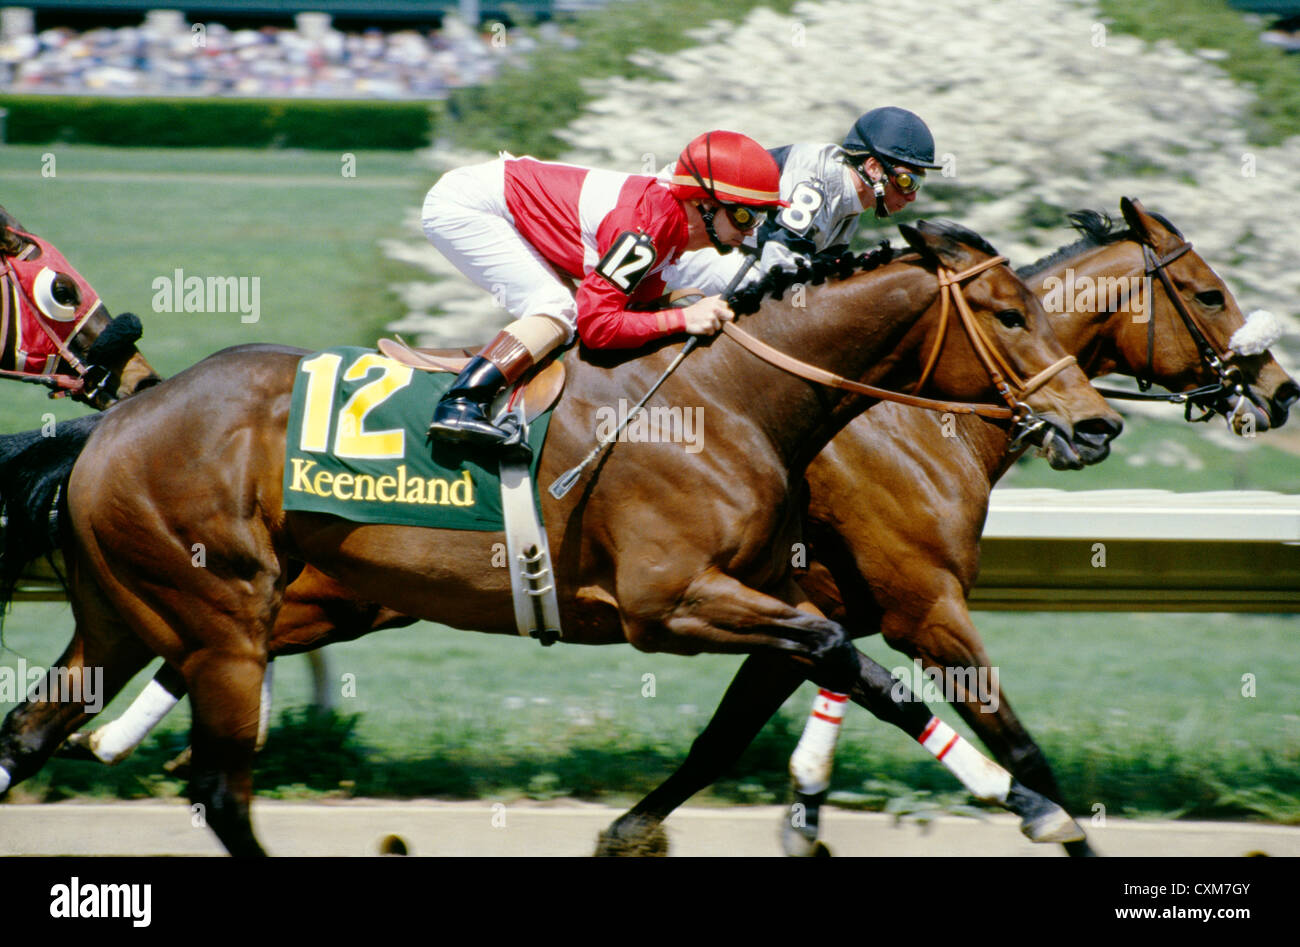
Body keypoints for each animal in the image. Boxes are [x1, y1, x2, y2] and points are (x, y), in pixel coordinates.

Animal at [0, 222, 1123, 858]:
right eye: (1010, 313)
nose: (1095, 421)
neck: (734, 396)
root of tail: (115, 421)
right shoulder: (673, 602)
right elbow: (862, 662)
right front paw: (1023, 796)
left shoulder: (772, 594)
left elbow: (804, 688)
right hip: (223, 617)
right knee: (222, 792)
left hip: (126, 617)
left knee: (30, 734)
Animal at [595, 196, 1294, 853]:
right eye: (1209, 293)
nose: (1283, 390)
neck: (926, 417)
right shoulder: (926, 608)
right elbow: (1022, 753)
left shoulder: (806, 616)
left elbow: (724, 737)